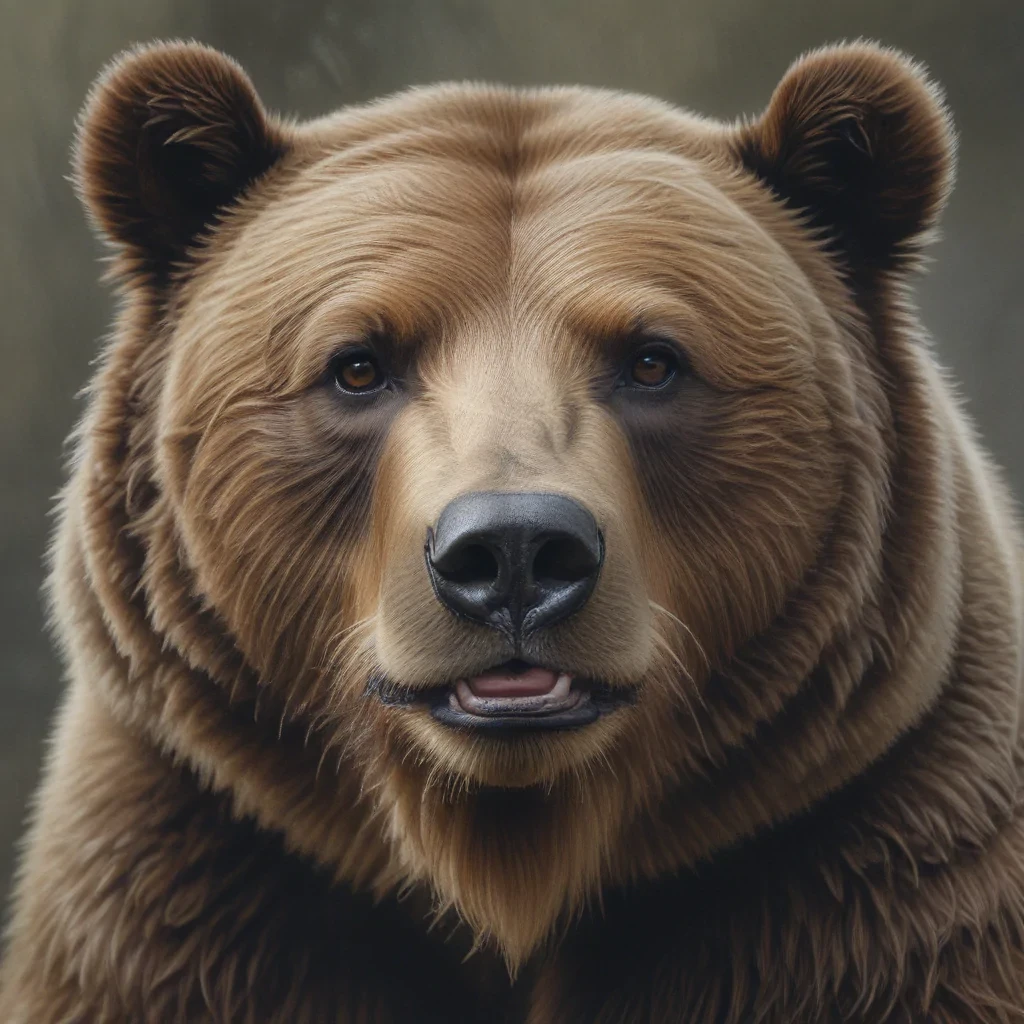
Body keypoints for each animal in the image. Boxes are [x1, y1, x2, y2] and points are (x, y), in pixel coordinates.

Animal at [2, 36, 1023, 1023]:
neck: (511, 861)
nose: (515, 552)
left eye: (653, 360)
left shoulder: (874, 888)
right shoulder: (195, 895)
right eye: (358, 365)